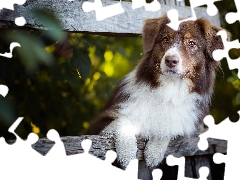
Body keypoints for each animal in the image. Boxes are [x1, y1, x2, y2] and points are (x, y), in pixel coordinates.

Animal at [84, 14, 229, 169]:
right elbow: (122, 120)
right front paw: (127, 152)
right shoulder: (98, 123)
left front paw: (154, 151)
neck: (169, 88)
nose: (170, 60)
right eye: (166, 39)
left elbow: (168, 127)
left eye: (191, 43)